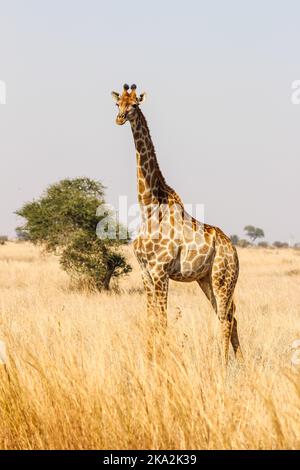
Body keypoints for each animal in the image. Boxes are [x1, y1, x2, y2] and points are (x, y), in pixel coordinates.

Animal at [111, 82, 243, 366]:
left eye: (134, 105)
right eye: (117, 104)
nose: (119, 118)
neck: (149, 207)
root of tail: (233, 250)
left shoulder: (160, 271)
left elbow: (162, 321)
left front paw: (160, 363)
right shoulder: (146, 273)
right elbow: (151, 320)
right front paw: (150, 361)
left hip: (223, 277)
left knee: (225, 319)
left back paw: (221, 365)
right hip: (206, 280)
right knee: (231, 317)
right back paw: (242, 364)